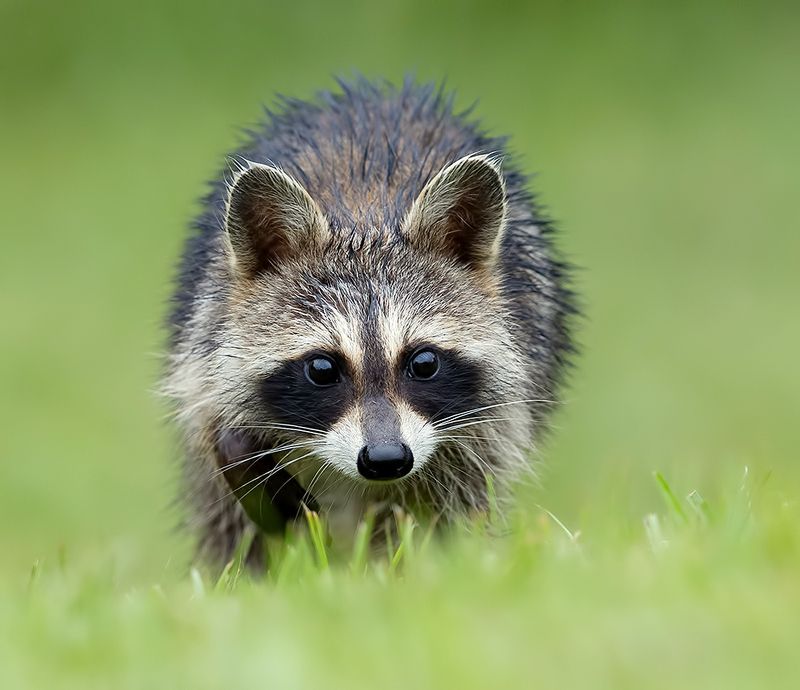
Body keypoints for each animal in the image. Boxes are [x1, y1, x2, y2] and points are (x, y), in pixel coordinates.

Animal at [164, 78, 575, 567]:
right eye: (322, 368)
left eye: (424, 363)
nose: (385, 459)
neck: (366, 220)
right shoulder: (205, 343)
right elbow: (224, 465)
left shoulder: (494, 416)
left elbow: (452, 502)